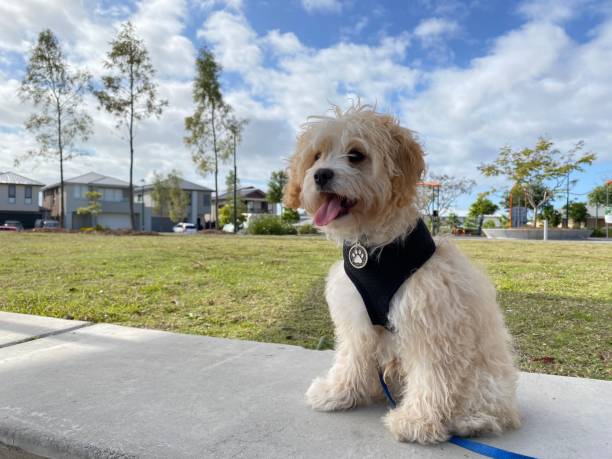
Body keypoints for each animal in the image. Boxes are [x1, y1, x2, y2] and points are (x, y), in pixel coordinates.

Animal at [284, 105, 520, 446]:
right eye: (316, 156)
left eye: (356, 155)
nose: (320, 175)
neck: (372, 248)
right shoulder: (355, 317)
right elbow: (350, 357)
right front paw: (338, 392)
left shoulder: (431, 323)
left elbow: (432, 377)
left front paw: (417, 421)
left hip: (485, 376)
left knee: (491, 406)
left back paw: (471, 419)